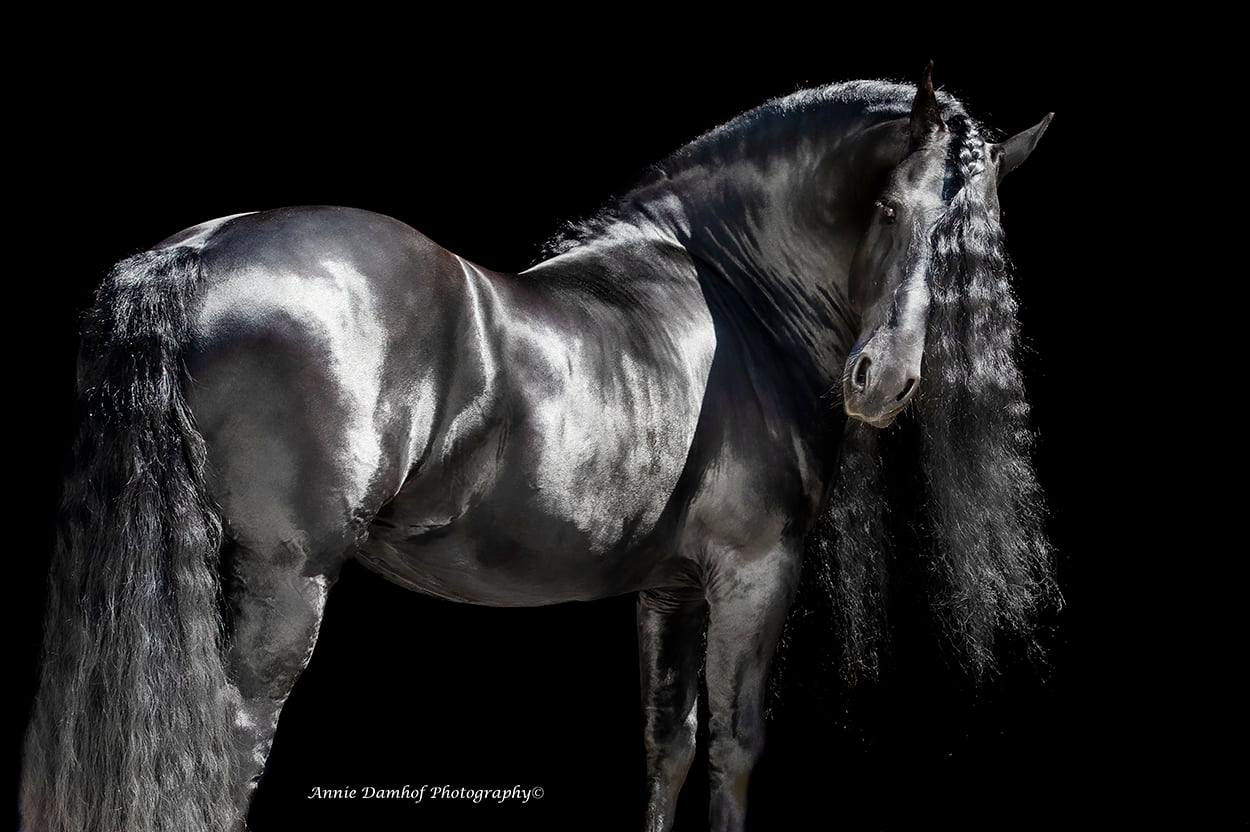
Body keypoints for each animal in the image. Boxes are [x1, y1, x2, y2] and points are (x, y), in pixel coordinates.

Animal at [19, 66, 1055, 829]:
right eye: (890, 210)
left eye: (975, 242)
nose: (883, 381)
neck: (729, 289)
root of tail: (190, 256)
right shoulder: (755, 573)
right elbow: (734, 746)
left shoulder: (670, 587)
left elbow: (669, 744)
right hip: (285, 578)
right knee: (227, 749)